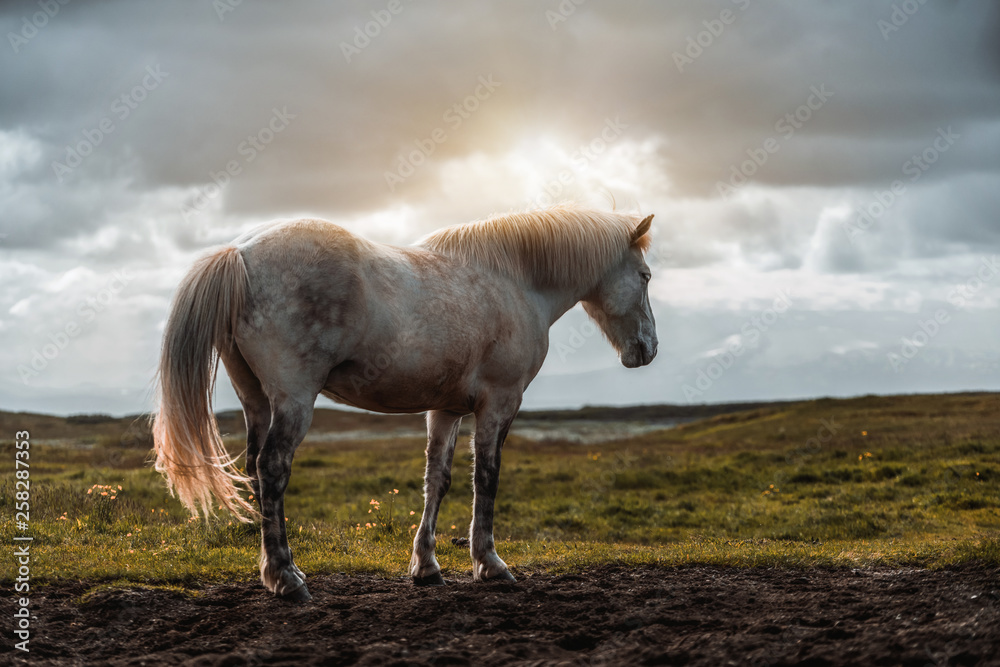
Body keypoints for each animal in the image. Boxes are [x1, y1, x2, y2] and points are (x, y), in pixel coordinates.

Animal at [152, 204, 660, 600]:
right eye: (645, 276)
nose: (648, 349)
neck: (515, 281)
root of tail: (240, 253)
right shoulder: (500, 403)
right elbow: (486, 478)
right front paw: (489, 564)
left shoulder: (446, 409)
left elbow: (438, 480)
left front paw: (426, 568)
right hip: (293, 400)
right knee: (273, 468)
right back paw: (287, 579)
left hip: (255, 400)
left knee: (257, 470)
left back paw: (278, 571)